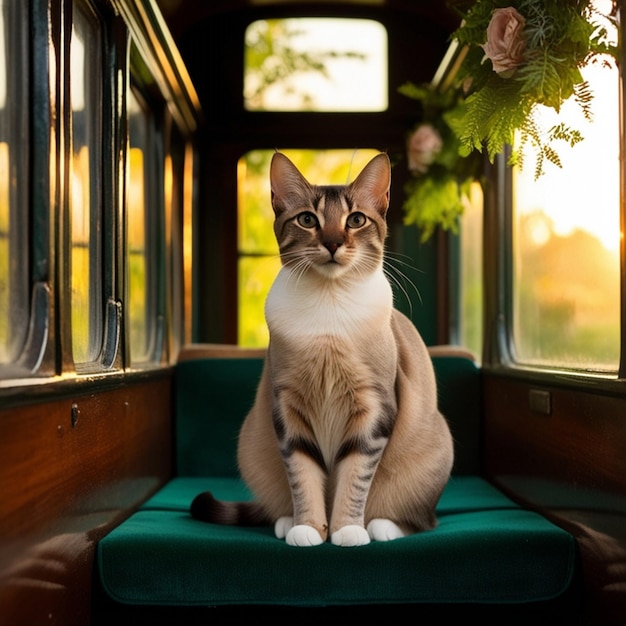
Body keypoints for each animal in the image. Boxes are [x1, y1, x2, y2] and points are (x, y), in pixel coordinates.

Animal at [190, 152, 454, 544]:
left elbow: (354, 479)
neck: (329, 305)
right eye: (307, 220)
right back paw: (286, 522)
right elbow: (304, 478)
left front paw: (346, 530)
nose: (332, 243)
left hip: (432, 451)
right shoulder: (289, 411)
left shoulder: (372, 410)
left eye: (355, 220)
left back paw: (382, 527)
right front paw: (309, 528)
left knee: (423, 519)